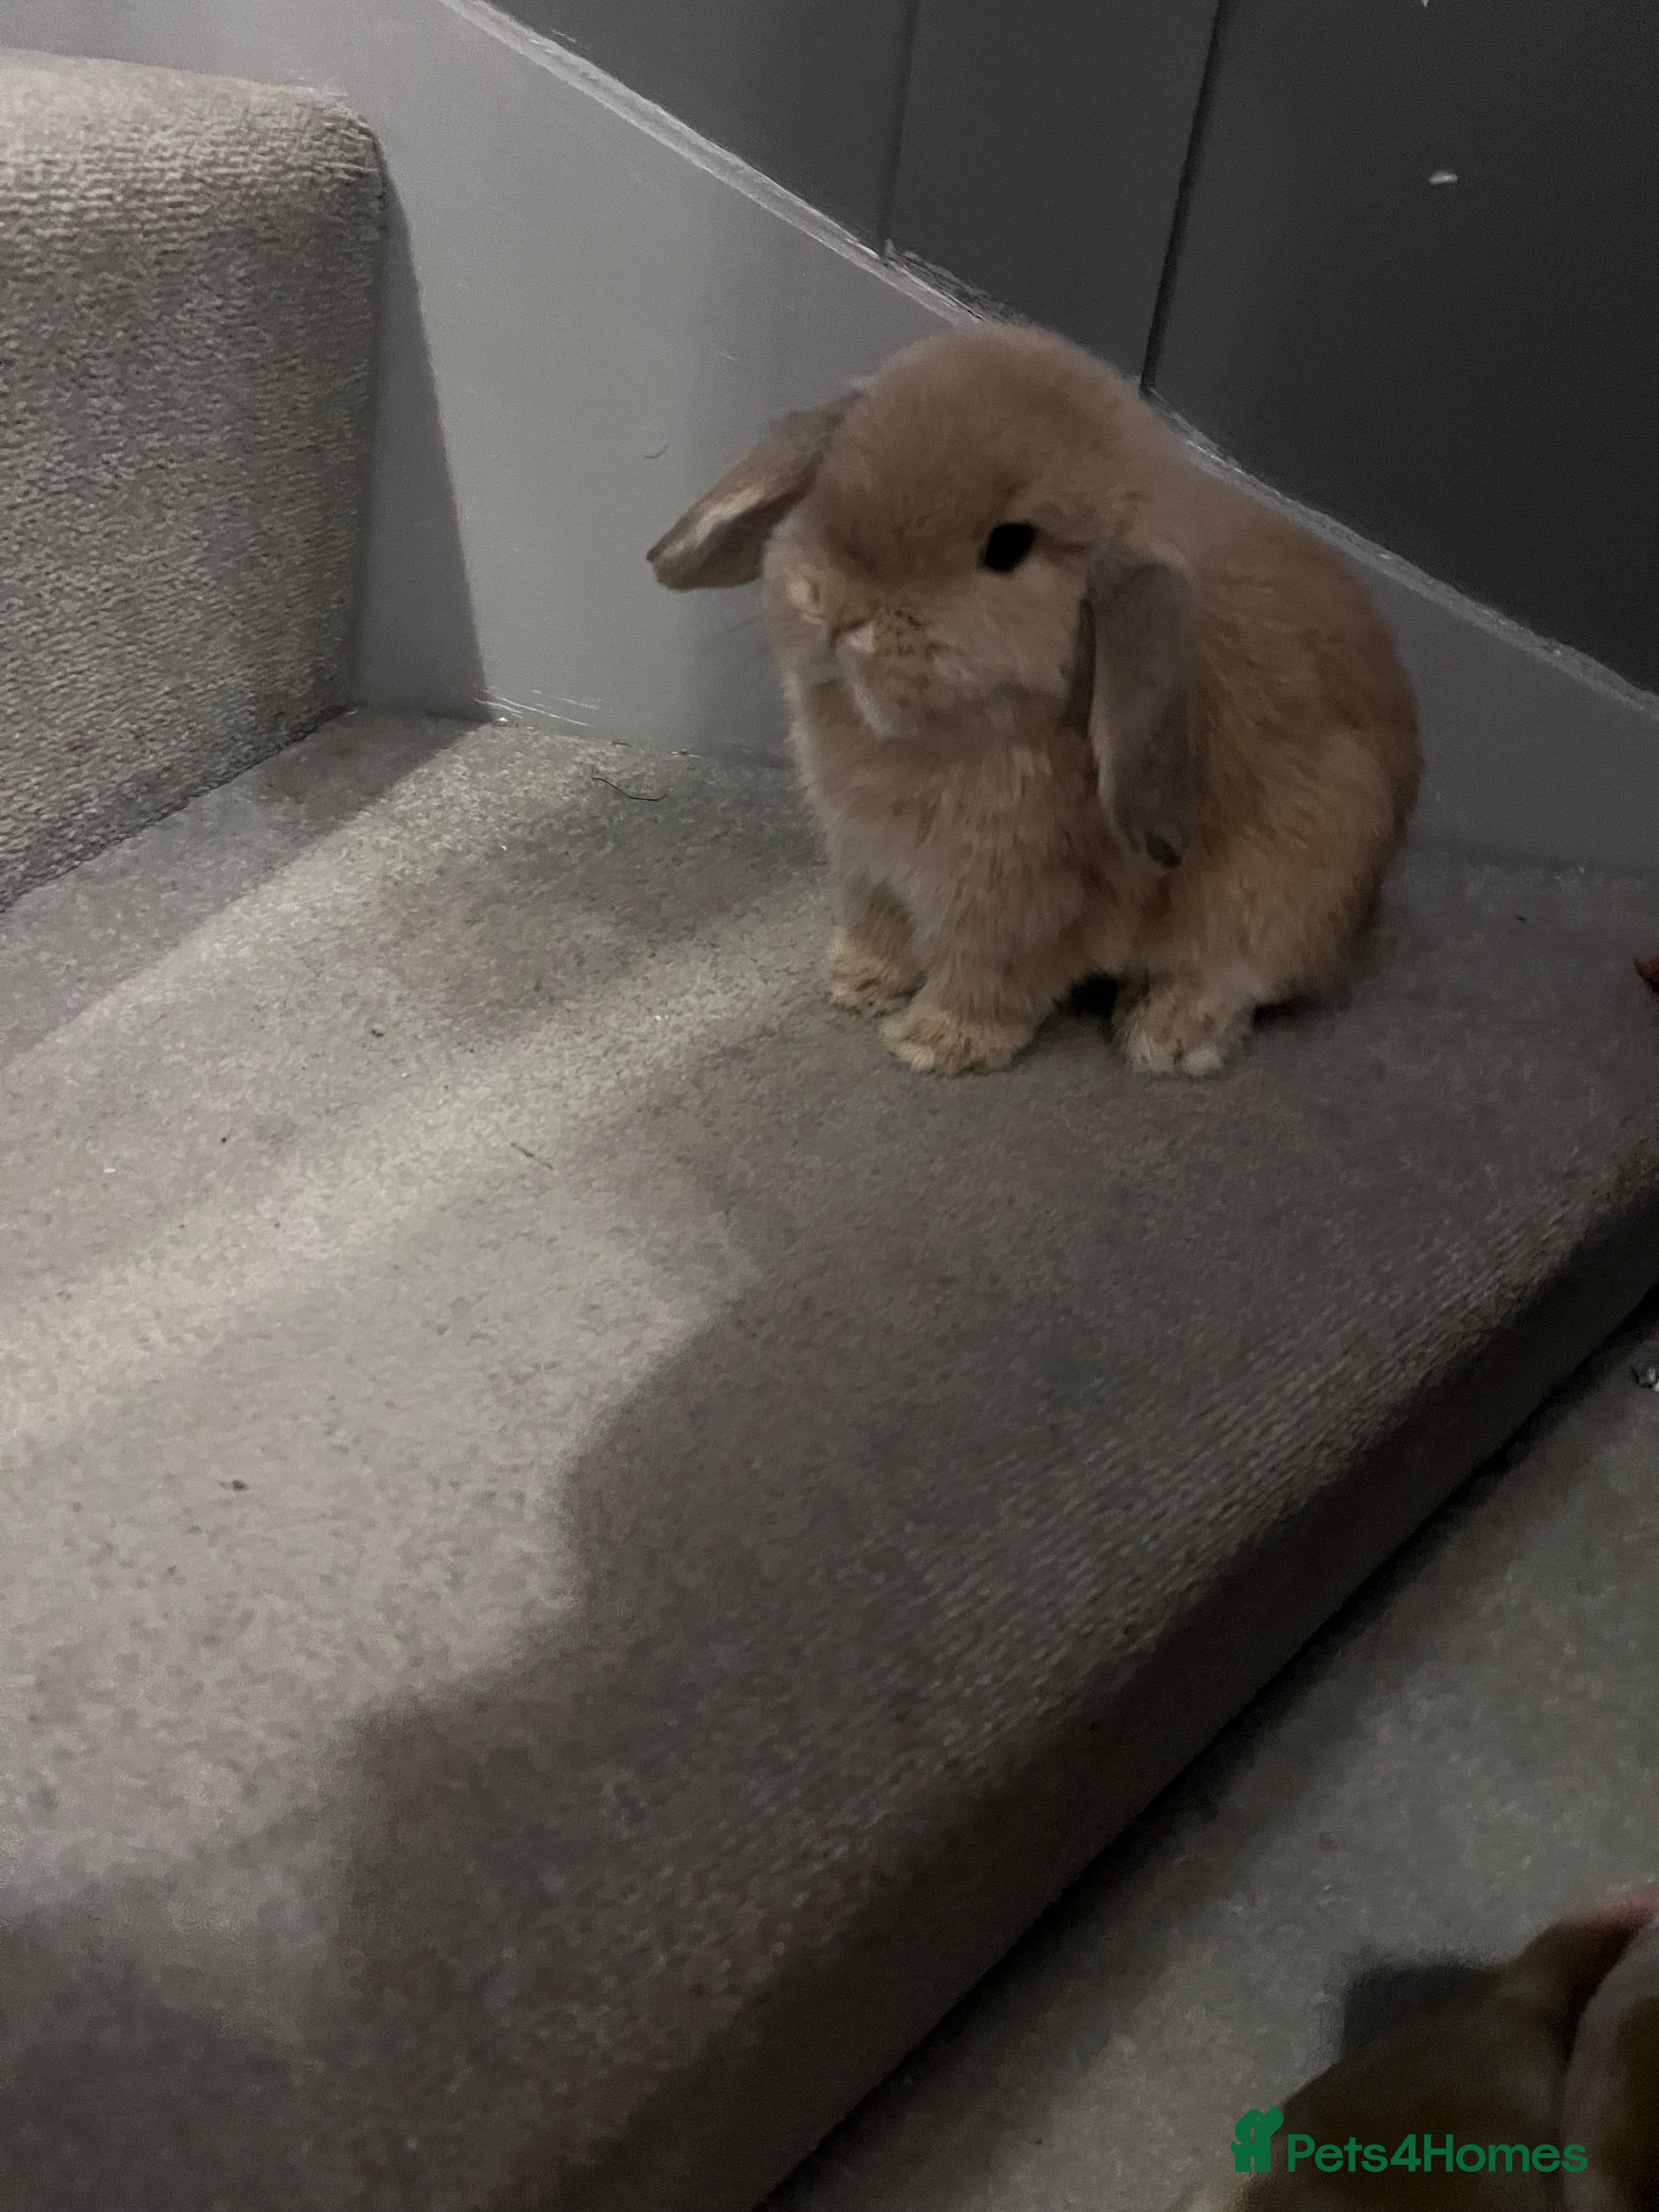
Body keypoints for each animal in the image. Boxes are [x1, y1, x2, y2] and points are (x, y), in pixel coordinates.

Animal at [648, 322, 1420, 1078]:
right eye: (831, 474)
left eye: (1009, 546)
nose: (839, 613)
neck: (920, 743)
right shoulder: (871, 871)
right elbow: (882, 934)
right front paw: (855, 984)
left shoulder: (1022, 913)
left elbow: (987, 984)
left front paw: (933, 1045)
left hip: (1287, 889)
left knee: (1240, 977)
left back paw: (1165, 1035)